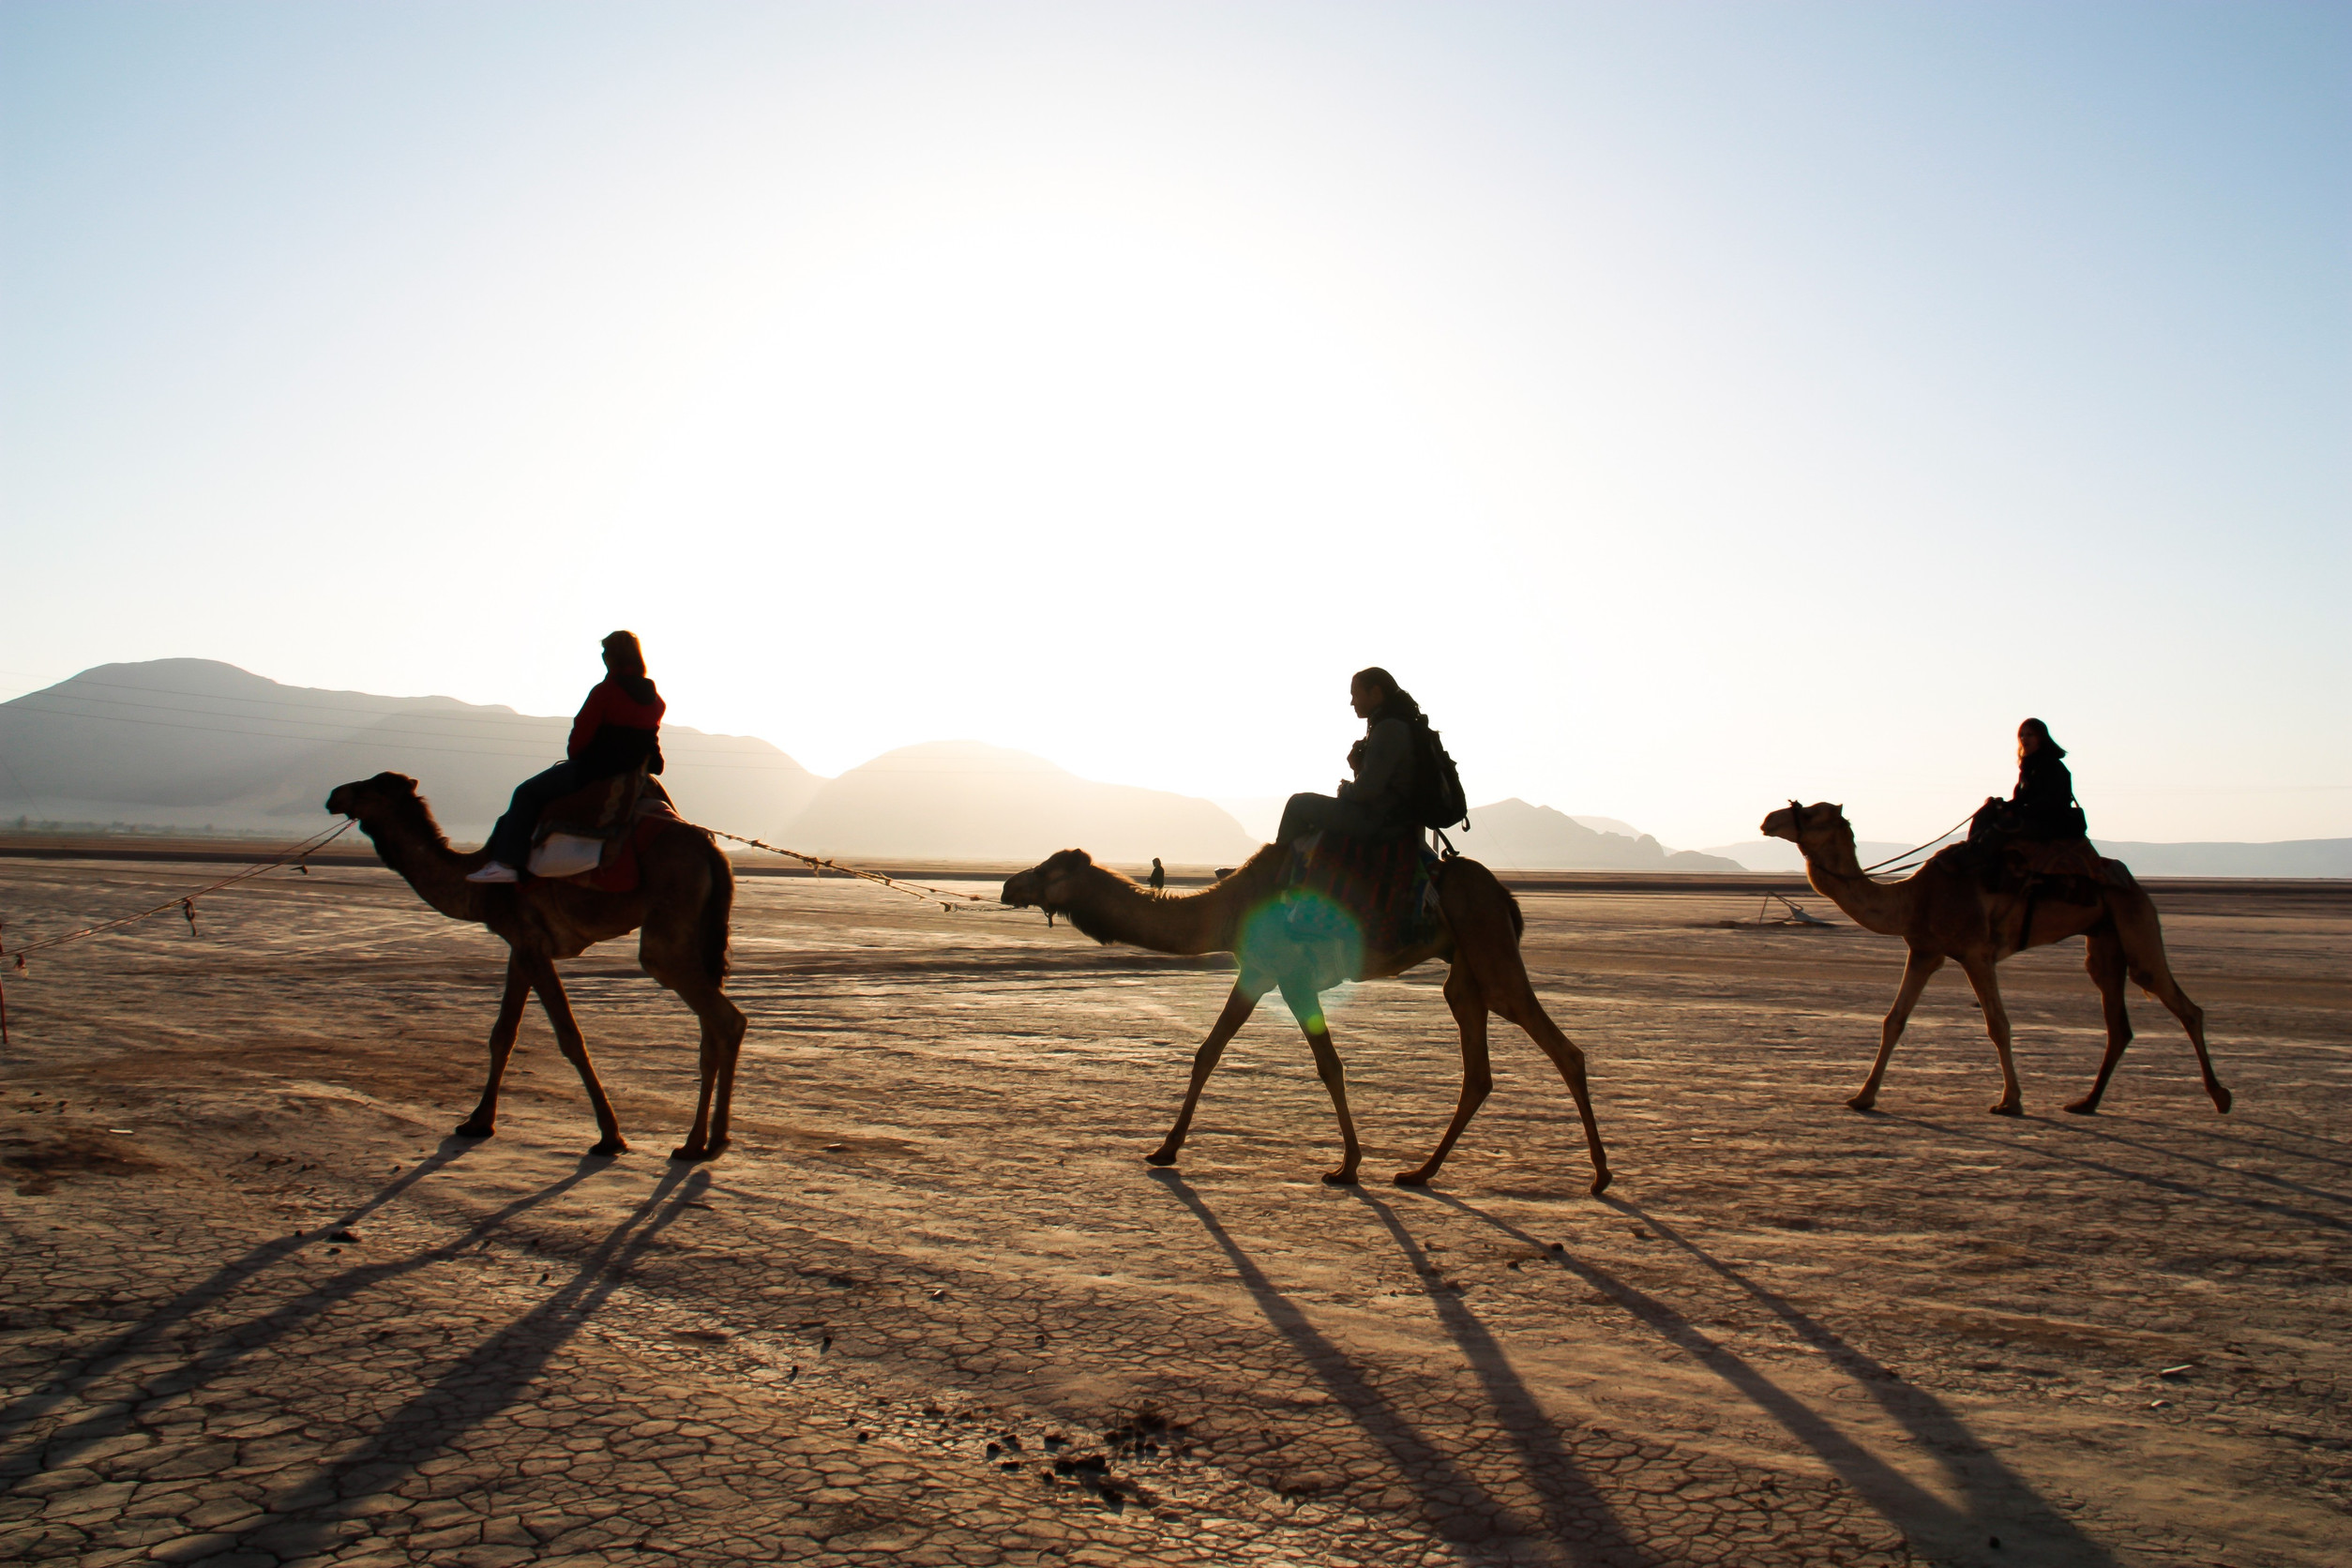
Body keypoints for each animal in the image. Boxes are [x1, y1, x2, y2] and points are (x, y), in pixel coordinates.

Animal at [324, 772, 747, 1160]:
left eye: (371, 786)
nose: (333, 795)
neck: (476, 887)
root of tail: (712, 852)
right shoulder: (521, 945)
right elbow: (502, 1034)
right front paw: (478, 1121)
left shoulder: (531, 943)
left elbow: (570, 1038)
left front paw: (610, 1137)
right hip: (698, 929)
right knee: (711, 1027)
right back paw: (708, 1139)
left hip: (668, 925)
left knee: (720, 1014)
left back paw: (701, 1143)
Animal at [1000, 844, 1611, 1193]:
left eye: (1048, 869)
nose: (1008, 884)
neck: (1227, 908)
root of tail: (1504, 893)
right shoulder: (1256, 970)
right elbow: (1207, 1053)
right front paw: (1166, 1149)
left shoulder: (1289, 974)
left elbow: (1329, 1066)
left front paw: (1348, 1166)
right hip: (1463, 967)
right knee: (1478, 1068)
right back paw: (1420, 1172)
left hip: (1485, 941)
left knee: (1560, 1047)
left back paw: (1601, 1175)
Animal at [1761, 801, 2229, 1118]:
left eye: (1813, 812)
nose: (1768, 819)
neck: (1912, 897)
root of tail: (2130, 880)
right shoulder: (1925, 950)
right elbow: (1893, 1020)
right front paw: (1863, 1096)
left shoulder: (1975, 952)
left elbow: (1998, 1025)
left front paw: (2011, 1101)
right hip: (2104, 940)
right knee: (2118, 1021)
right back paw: (2086, 1101)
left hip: (2135, 920)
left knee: (2182, 1003)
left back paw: (2221, 1097)